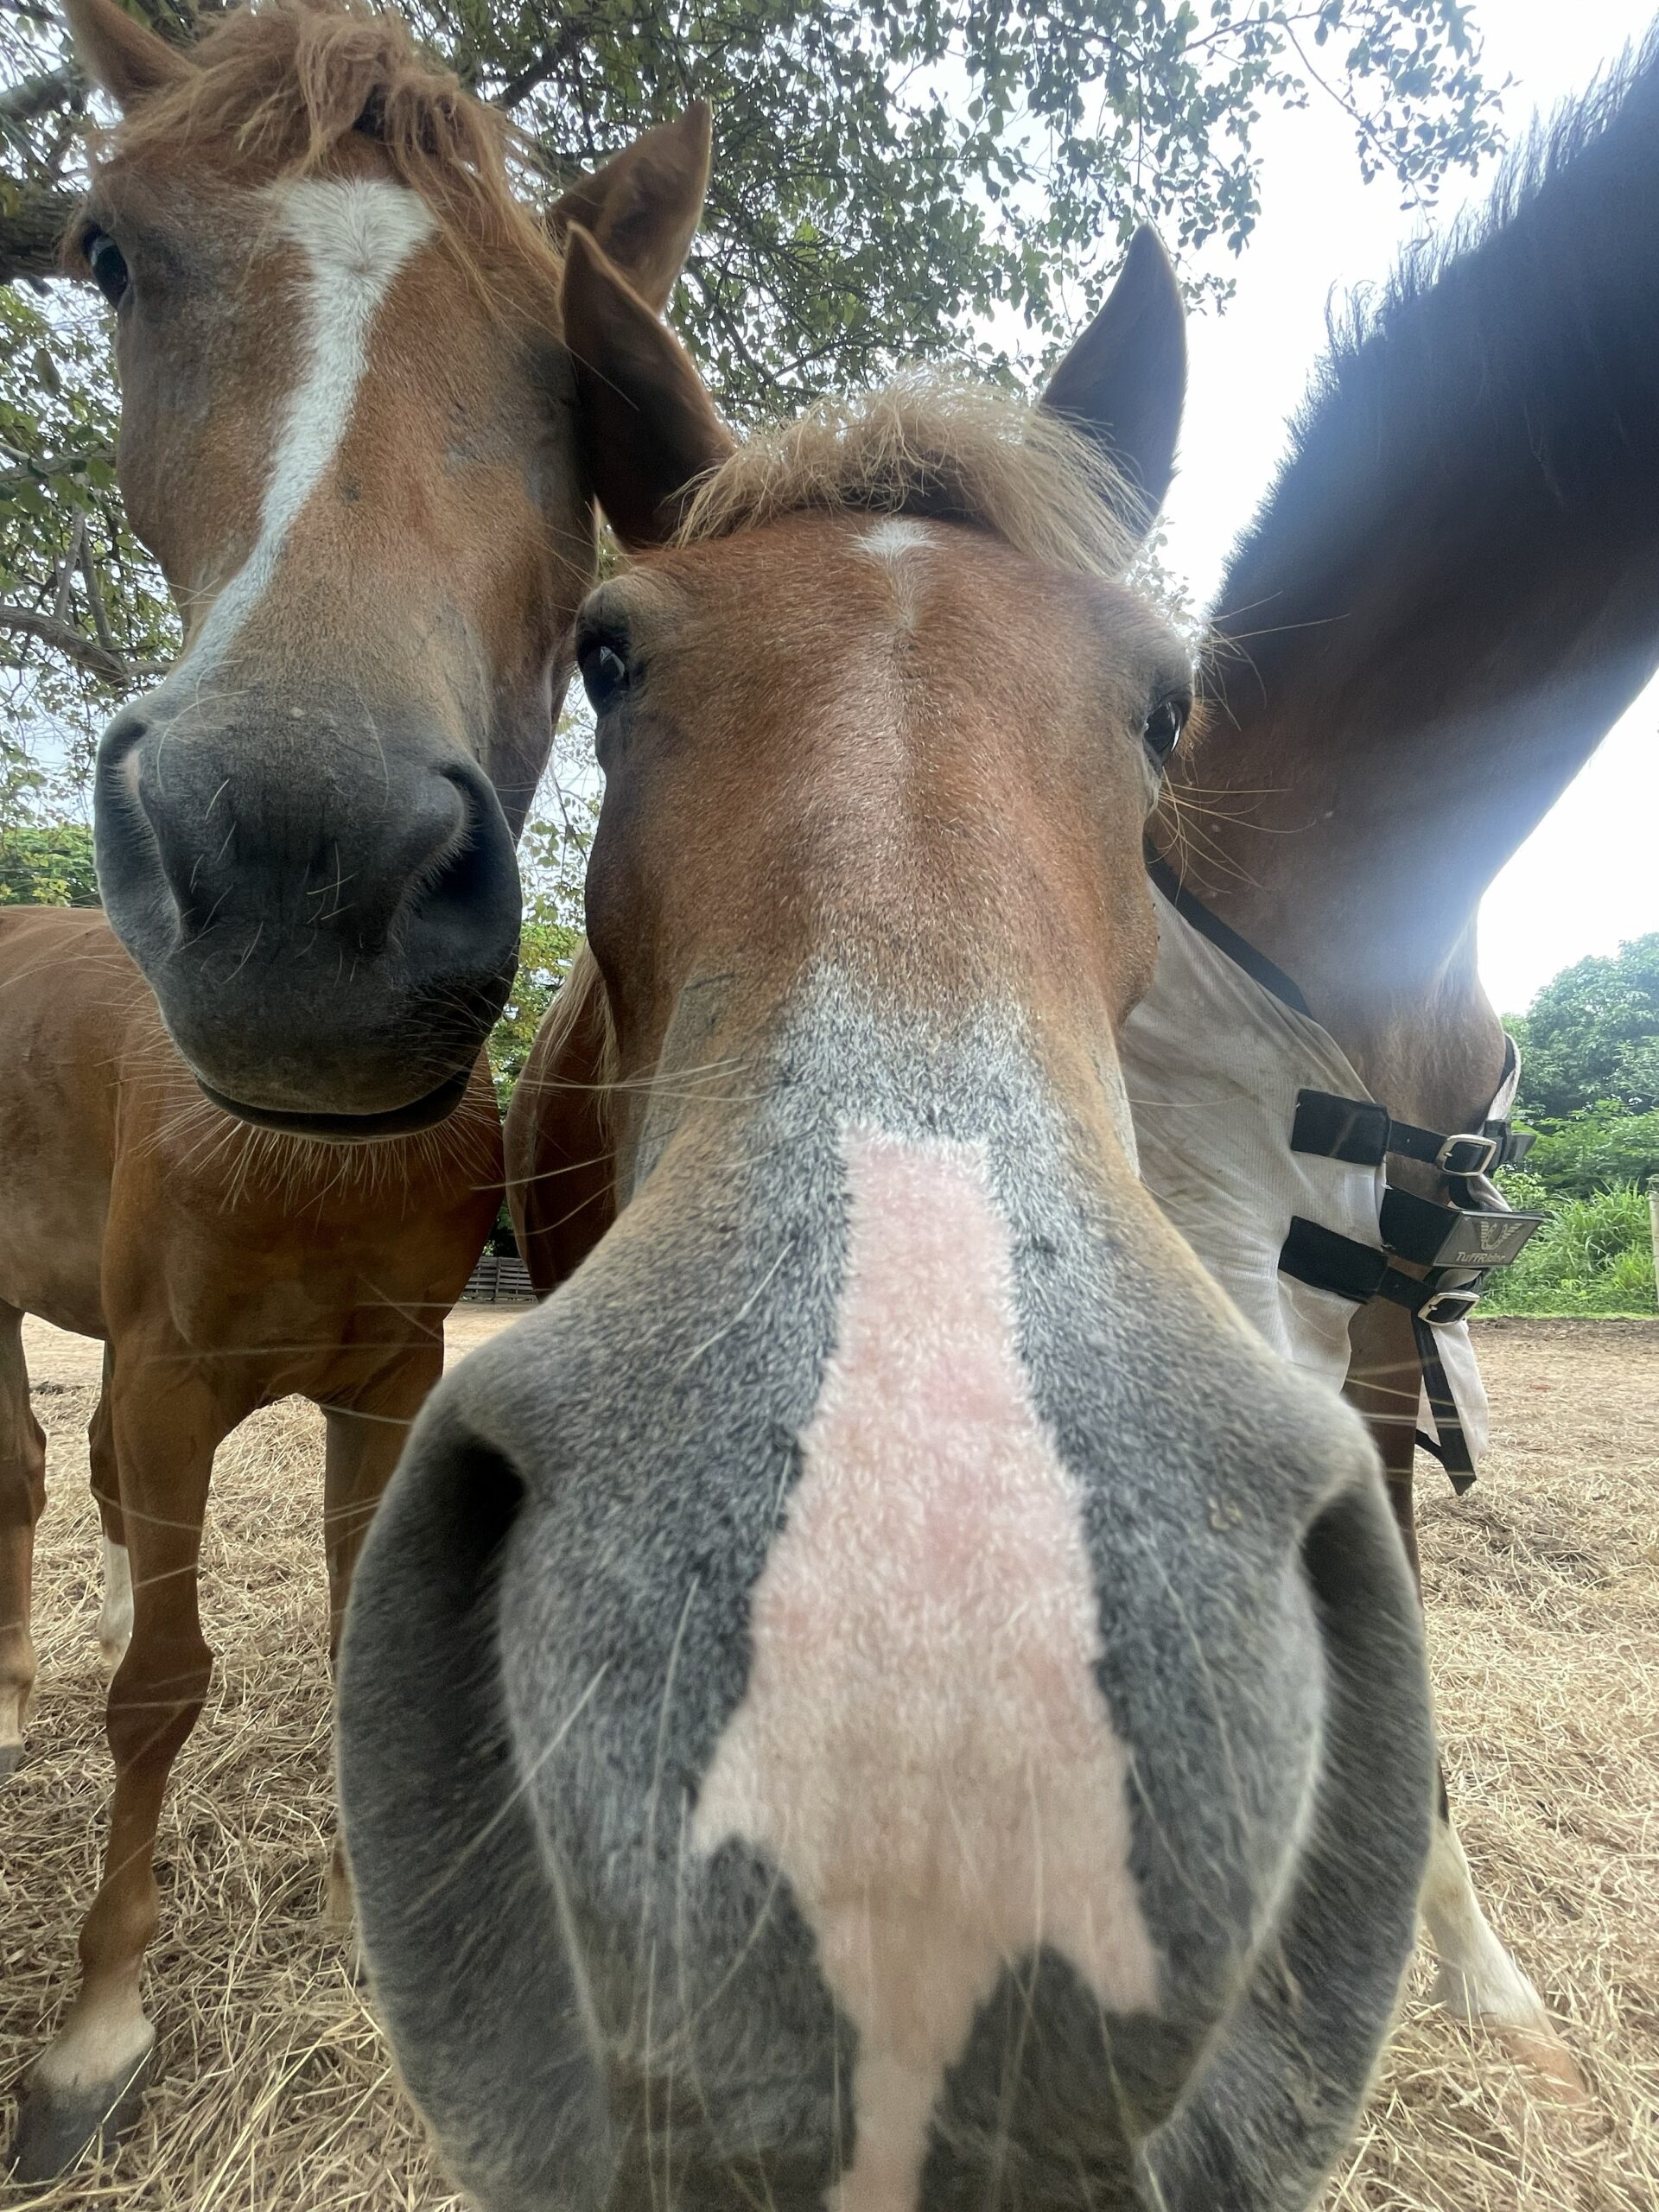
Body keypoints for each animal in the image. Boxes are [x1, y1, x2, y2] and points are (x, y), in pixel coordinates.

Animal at [0, 904, 502, 2178]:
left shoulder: (390, 1381)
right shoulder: (171, 1379)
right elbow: (161, 1688)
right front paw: (96, 2038)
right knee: (24, 1473)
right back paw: (11, 1710)